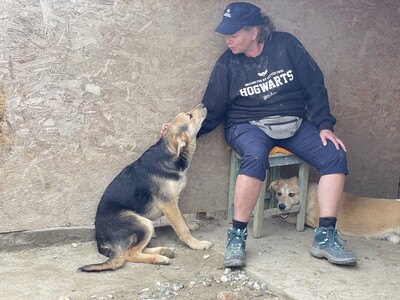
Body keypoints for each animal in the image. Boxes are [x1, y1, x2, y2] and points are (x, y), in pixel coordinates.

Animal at [79, 104, 214, 274]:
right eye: (189, 116)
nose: (203, 105)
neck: (169, 154)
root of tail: (101, 241)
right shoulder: (169, 204)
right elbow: (182, 228)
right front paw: (196, 244)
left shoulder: (174, 201)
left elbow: (182, 217)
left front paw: (190, 225)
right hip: (143, 223)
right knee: (129, 254)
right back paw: (160, 258)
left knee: (134, 250)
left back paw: (164, 251)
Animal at [268, 176, 400, 244]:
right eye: (279, 193)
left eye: (291, 194)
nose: (281, 206)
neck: (311, 194)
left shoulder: (315, 221)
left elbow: (297, 218)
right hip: (392, 237)